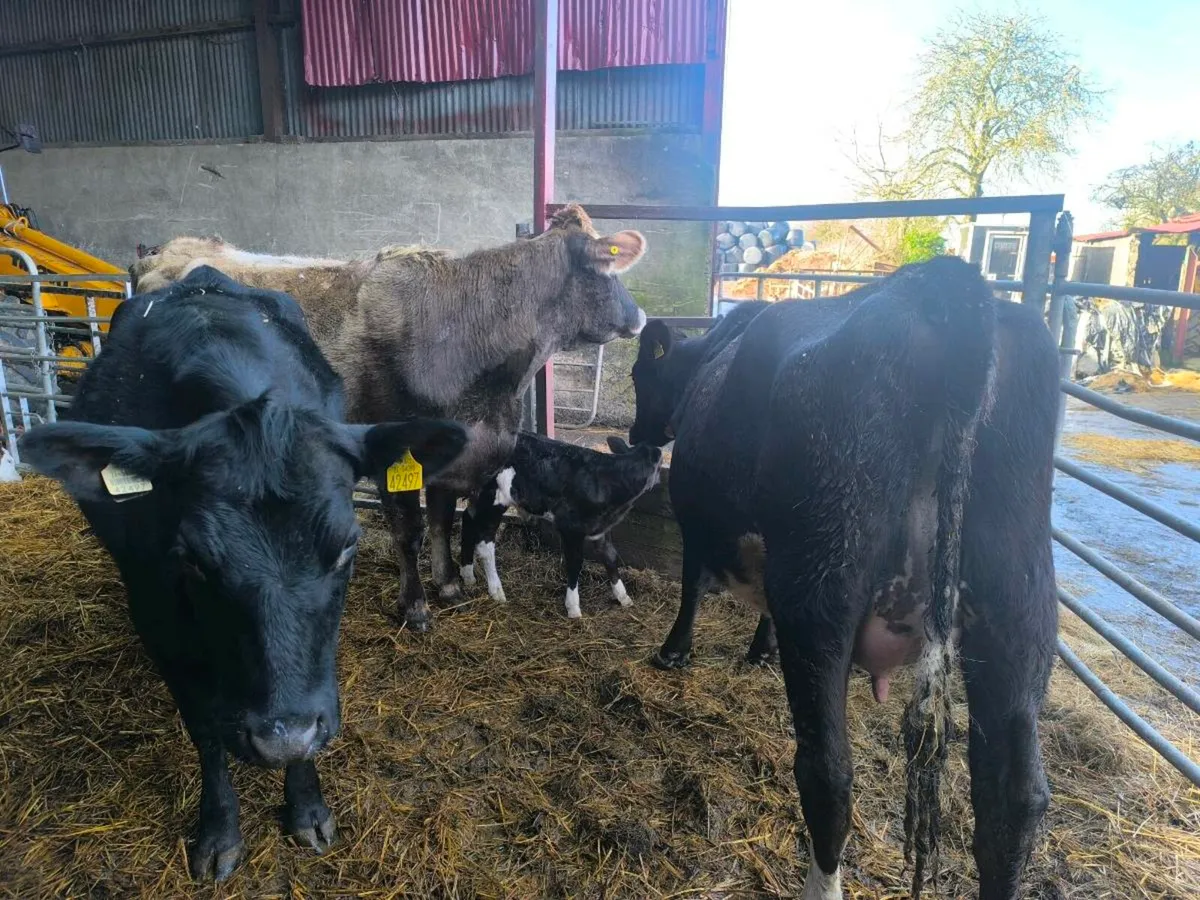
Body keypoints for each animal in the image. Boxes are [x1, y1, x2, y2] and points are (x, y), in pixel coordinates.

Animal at [17, 267, 468, 882]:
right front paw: (219, 832)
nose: (280, 738)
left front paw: (306, 808)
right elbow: (205, 727)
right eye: (192, 558)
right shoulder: (157, 613)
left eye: (347, 547)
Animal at [460, 432, 663, 617]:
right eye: (660, 466)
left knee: (467, 521)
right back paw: (496, 591)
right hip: (492, 501)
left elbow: (610, 556)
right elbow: (575, 563)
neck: (607, 480)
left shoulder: (600, 528)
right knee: (485, 546)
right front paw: (573, 607)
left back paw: (468, 575)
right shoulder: (570, 527)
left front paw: (623, 596)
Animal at [628, 257, 1059, 900]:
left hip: (821, 587)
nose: (637, 437)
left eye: (638, 376)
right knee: (1015, 799)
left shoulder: (696, 520)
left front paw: (674, 652)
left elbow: (690, 587)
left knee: (829, 774)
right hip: (1019, 607)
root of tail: (941, 288)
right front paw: (760, 648)